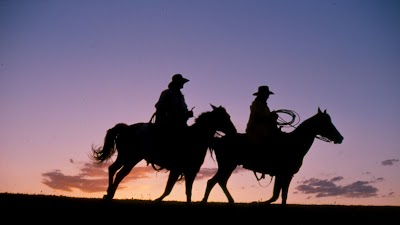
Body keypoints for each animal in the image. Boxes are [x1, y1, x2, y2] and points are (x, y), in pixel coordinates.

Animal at [90, 104, 238, 203]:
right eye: (225, 118)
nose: (234, 131)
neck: (195, 138)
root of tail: (126, 128)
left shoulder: (191, 171)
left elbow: (188, 192)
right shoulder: (178, 170)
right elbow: (169, 189)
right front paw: (157, 200)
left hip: (125, 157)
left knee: (113, 169)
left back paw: (109, 193)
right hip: (131, 158)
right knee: (119, 173)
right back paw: (110, 194)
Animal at [202, 107, 342, 206]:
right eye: (326, 122)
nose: (341, 138)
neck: (294, 143)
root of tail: (218, 140)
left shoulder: (283, 175)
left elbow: (278, 195)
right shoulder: (285, 174)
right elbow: (280, 195)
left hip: (229, 166)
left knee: (220, 182)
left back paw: (231, 201)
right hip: (227, 165)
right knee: (212, 182)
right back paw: (206, 201)